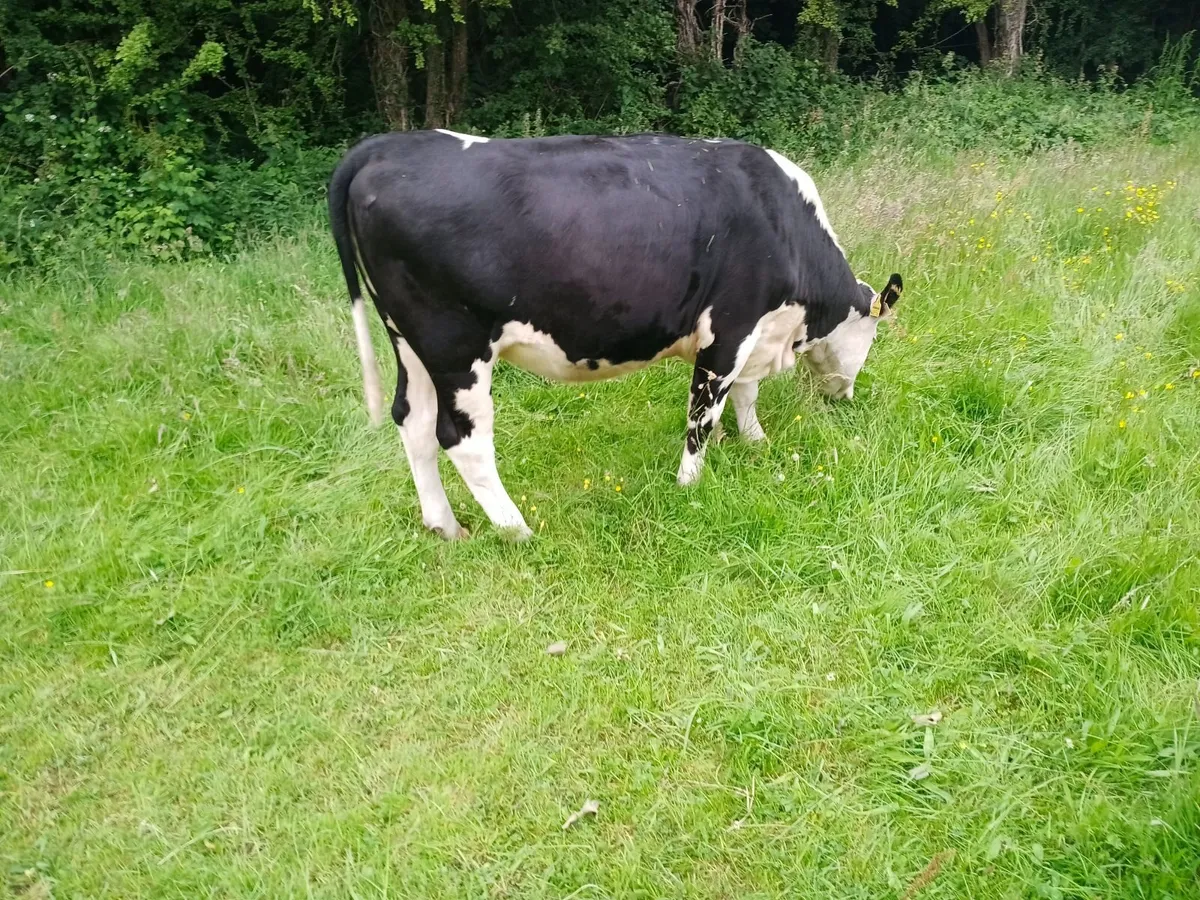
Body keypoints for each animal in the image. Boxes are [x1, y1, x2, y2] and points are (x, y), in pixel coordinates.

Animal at [328, 129, 903, 540]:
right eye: (873, 336)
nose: (845, 396)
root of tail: (386, 146)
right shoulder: (731, 328)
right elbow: (703, 413)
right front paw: (690, 485)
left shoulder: (753, 335)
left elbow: (744, 395)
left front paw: (755, 442)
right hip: (455, 345)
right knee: (462, 439)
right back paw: (517, 530)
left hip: (410, 341)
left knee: (413, 420)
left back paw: (445, 526)